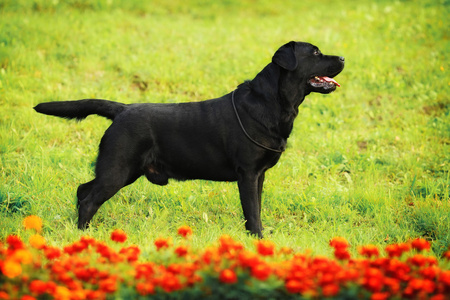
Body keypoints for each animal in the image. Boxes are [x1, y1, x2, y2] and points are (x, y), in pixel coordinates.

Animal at [35, 41, 344, 237]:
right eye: (315, 52)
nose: (342, 58)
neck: (274, 103)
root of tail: (122, 109)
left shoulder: (259, 175)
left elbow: (254, 209)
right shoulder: (247, 173)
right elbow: (252, 212)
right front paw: (258, 240)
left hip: (123, 171)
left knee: (82, 190)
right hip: (118, 169)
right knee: (89, 199)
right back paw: (83, 237)